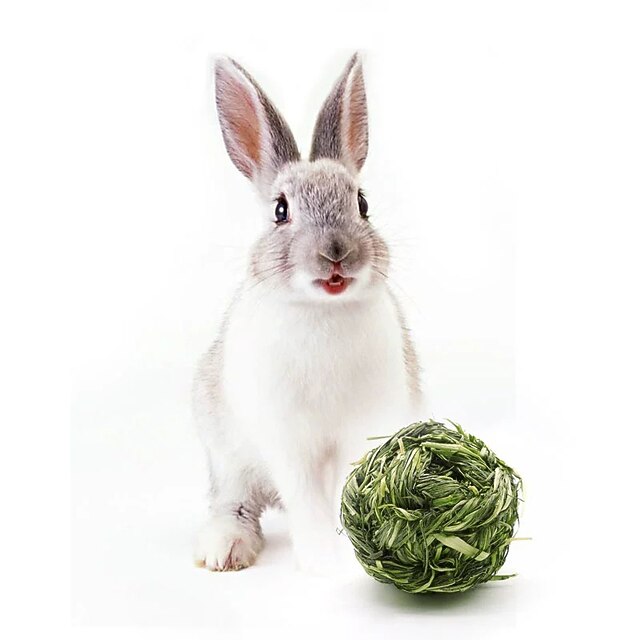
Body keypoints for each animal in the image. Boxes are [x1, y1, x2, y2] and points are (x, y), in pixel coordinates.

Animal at [193, 53, 423, 573]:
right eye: (280, 210)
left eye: (362, 203)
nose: (336, 253)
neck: (323, 311)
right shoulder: (287, 443)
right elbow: (309, 502)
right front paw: (322, 562)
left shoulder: (360, 432)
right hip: (227, 457)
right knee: (234, 503)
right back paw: (223, 550)